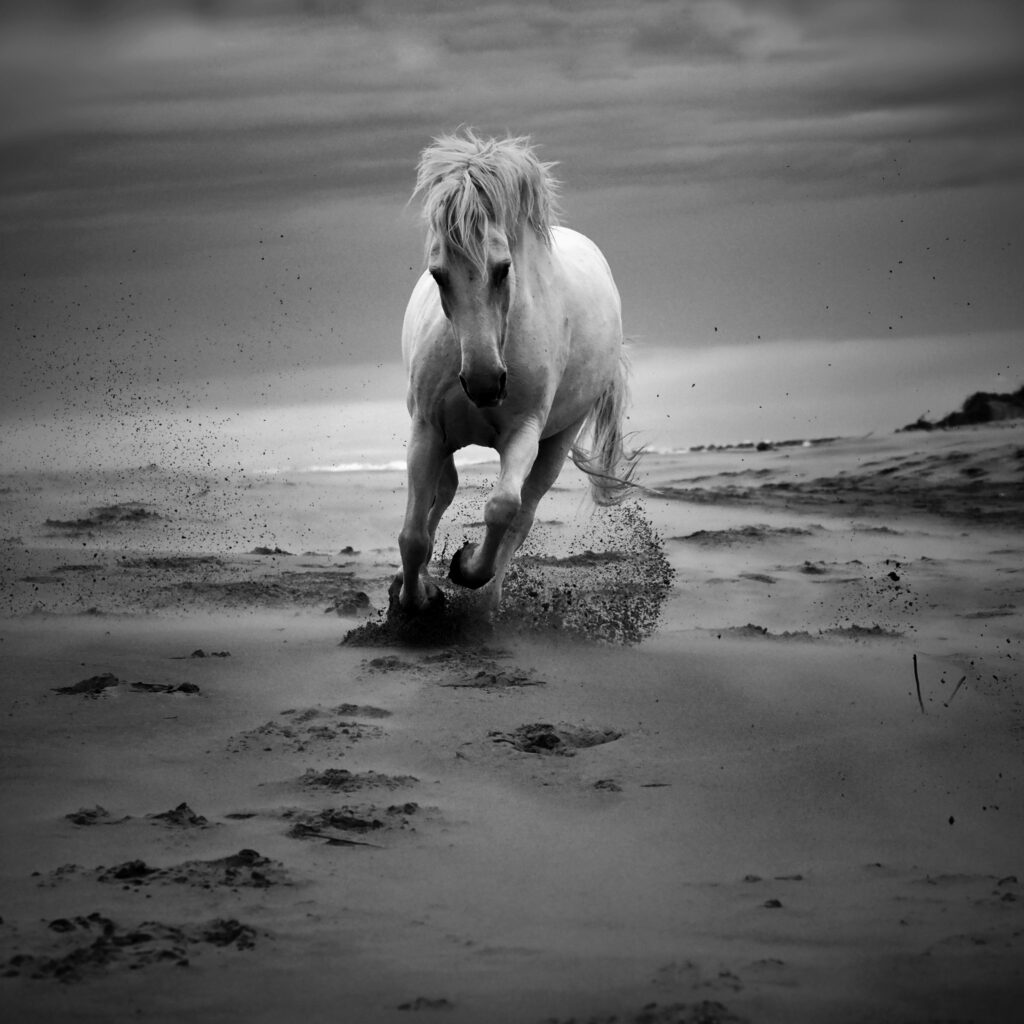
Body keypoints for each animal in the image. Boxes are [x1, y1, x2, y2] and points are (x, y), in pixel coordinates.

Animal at [389, 129, 638, 617]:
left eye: (503, 269)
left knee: (522, 515)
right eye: (438, 274)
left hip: (557, 440)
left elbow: (502, 508)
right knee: (443, 494)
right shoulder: (426, 430)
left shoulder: (525, 430)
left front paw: (465, 566)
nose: (485, 383)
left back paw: (489, 605)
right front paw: (413, 598)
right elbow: (413, 535)